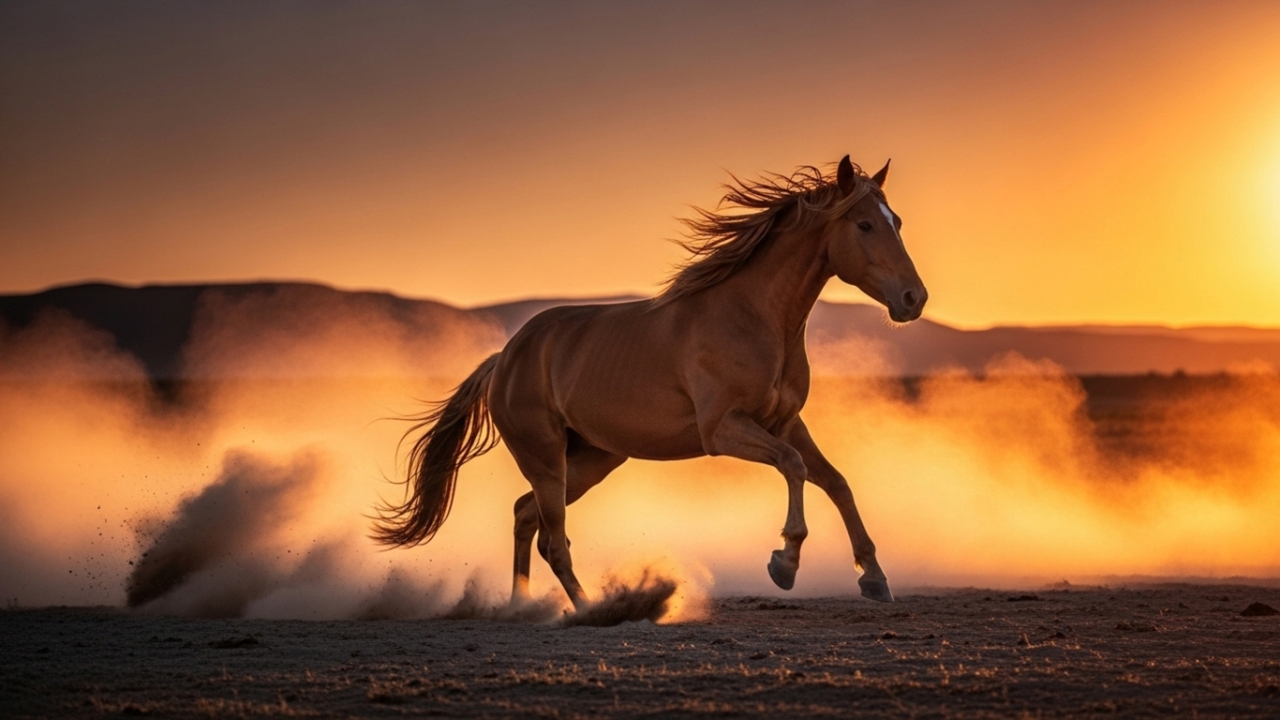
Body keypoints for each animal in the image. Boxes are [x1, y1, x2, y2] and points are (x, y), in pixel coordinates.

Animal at [373, 155, 928, 607]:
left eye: (897, 222)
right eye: (864, 224)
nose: (913, 299)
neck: (752, 317)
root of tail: (505, 359)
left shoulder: (786, 423)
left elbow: (836, 482)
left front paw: (874, 578)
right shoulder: (723, 430)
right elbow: (793, 467)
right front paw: (784, 563)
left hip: (591, 460)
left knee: (525, 516)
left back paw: (523, 608)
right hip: (546, 459)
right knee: (553, 539)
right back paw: (591, 611)